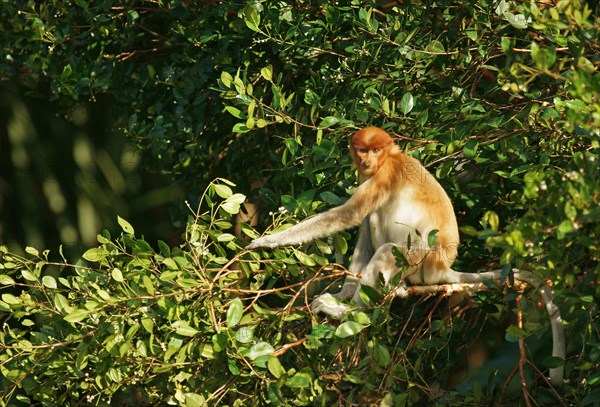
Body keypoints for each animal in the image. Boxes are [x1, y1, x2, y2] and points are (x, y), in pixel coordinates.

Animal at [246, 127, 564, 386]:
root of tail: (445, 267)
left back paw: (353, 312)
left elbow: (349, 214)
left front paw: (267, 241)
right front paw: (343, 293)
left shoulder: (382, 176)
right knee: (371, 224)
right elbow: (361, 222)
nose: (367, 161)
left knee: (386, 246)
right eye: (363, 150)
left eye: (376, 150)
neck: (390, 159)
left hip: (421, 261)